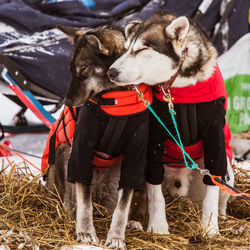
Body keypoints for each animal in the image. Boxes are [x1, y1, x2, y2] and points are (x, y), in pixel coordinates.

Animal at [107, 11, 234, 237]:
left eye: (142, 49)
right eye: (126, 48)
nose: (111, 72)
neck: (178, 86)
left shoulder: (215, 136)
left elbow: (212, 188)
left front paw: (209, 228)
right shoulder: (155, 139)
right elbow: (155, 193)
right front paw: (158, 226)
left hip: (229, 171)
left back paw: (221, 218)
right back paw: (134, 222)